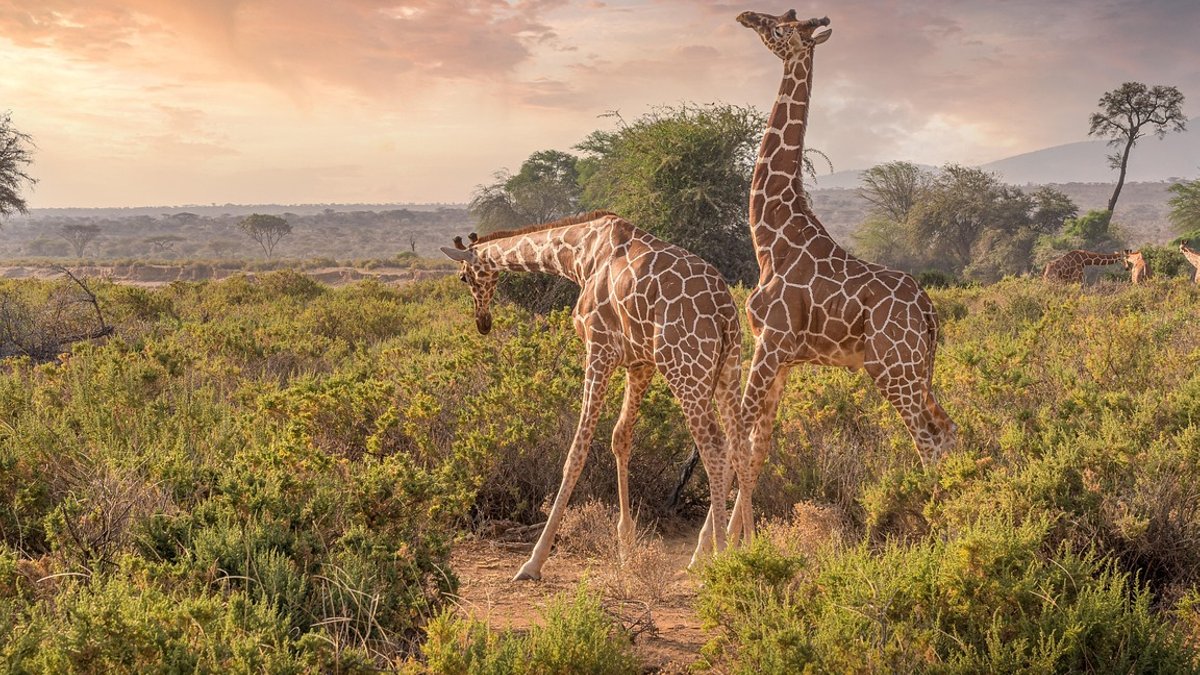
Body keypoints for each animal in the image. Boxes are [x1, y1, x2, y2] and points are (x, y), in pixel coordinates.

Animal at [440, 211, 747, 581]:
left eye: (463, 278)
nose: (482, 323)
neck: (579, 255)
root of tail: (725, 310)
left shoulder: (599, 348)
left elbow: (577, 450)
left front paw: (533, 561)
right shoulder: (640, 362)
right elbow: (620, 438)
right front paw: (626, 548)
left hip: (685, 367)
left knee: (714, 446)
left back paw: (719, 557)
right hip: (728, 367)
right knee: (740, 445)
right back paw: (747, 546)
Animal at [718, 11, 957, 542]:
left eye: (781, 28)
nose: (745, 16)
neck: (772, 239)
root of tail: (930, 311)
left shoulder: (770, 344)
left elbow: (737, 435)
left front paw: (714, 547)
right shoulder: (783, 357)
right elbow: (759, 446)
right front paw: (744, 541)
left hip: (892, 370)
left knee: (928, 439)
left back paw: (940, 531)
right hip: (917, 371)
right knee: (948, 429)